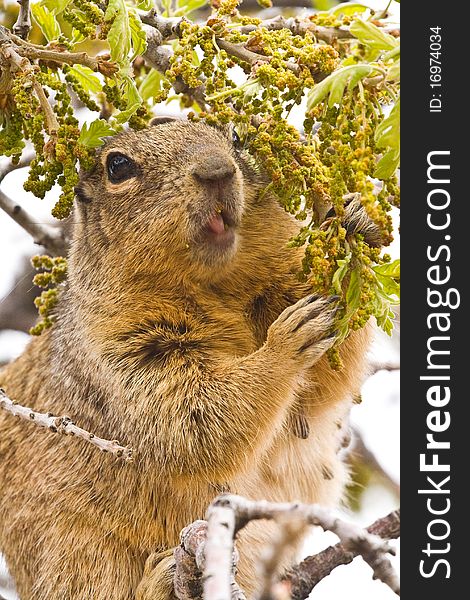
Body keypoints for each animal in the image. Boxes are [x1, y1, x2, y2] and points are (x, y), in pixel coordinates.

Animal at [0, 118, 378, 600]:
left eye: (234, 137)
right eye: (117, 166)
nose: (217, 171)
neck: (217, 287)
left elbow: (326, 385)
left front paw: (354, 220)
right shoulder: (119, 351)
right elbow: (191, 417)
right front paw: (284, 344)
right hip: (75, 555)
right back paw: (161, 579)